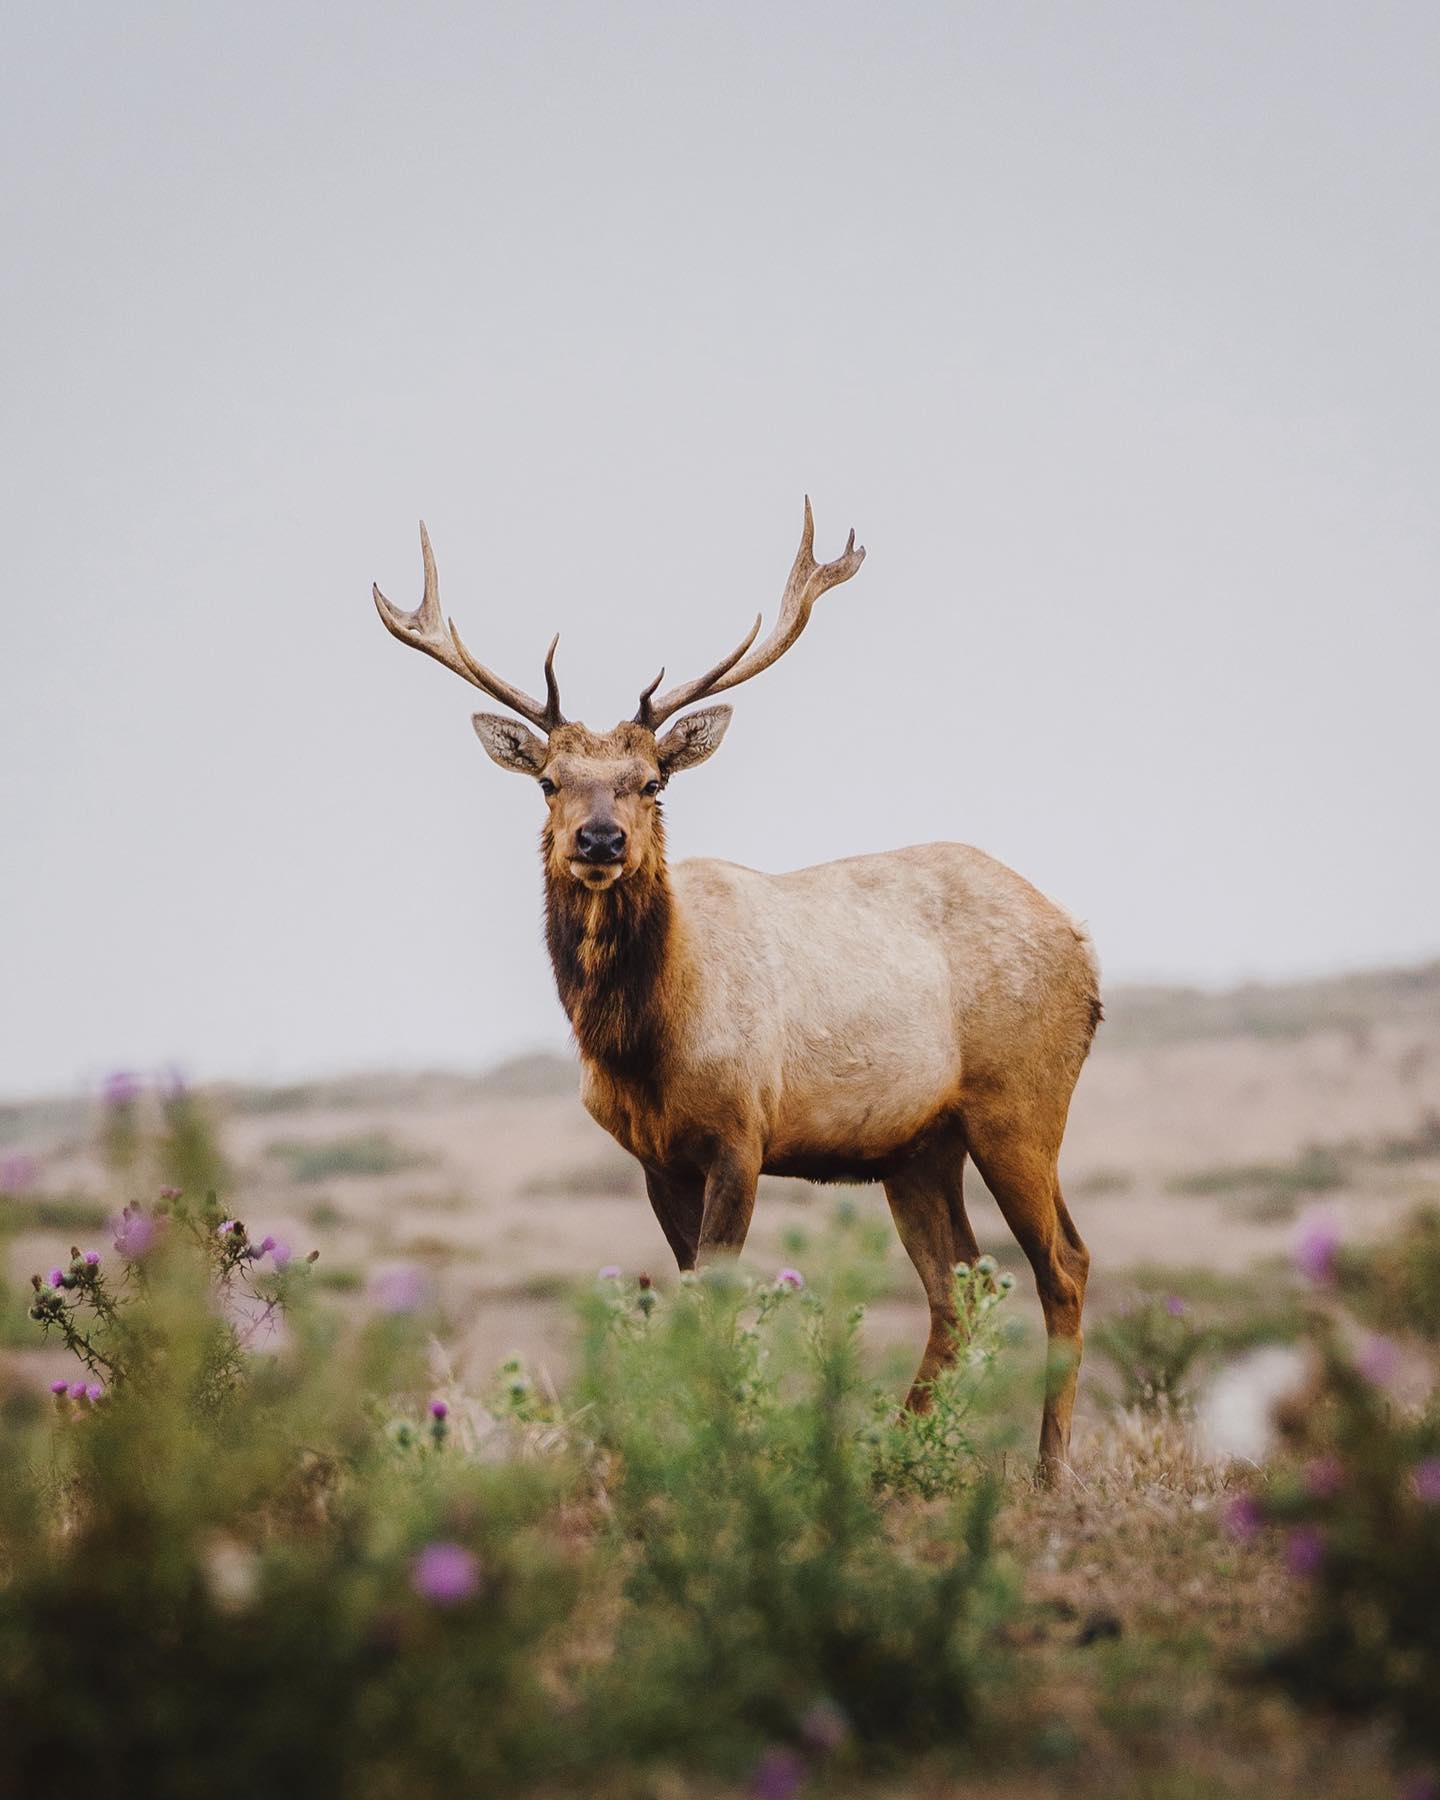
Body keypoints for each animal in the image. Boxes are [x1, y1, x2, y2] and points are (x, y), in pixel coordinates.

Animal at [373, 501, 1101, 1479]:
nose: (599, 840)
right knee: (958, 1288)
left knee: (1063, 1264)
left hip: (1020, 1102)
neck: (646, 1044)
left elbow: (718, 1311)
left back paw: (1048, 1471)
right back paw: (896, 1454)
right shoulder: (653, 1156)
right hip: (918, 1147)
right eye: (549, 782)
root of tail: (1085, 946)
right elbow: (689, 1310)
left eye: (652, 782)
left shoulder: (741, 1134)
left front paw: (727, 1455)